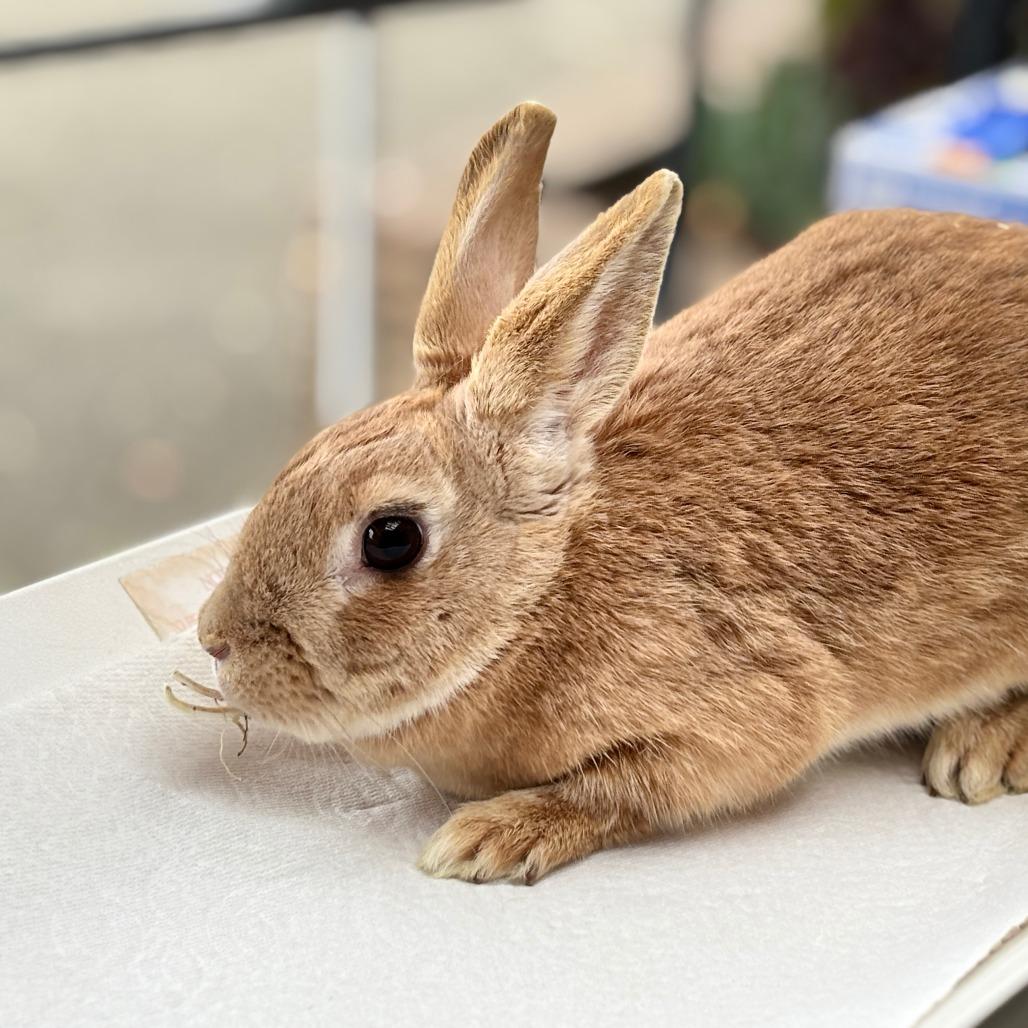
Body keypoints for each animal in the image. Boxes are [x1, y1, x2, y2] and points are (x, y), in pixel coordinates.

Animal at [198, 102, 1028, 884]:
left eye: (391, 537)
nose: (215, 641)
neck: (540, 599)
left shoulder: (742, 716)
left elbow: (620, 791)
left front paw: (490, 837)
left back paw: (979, 752)